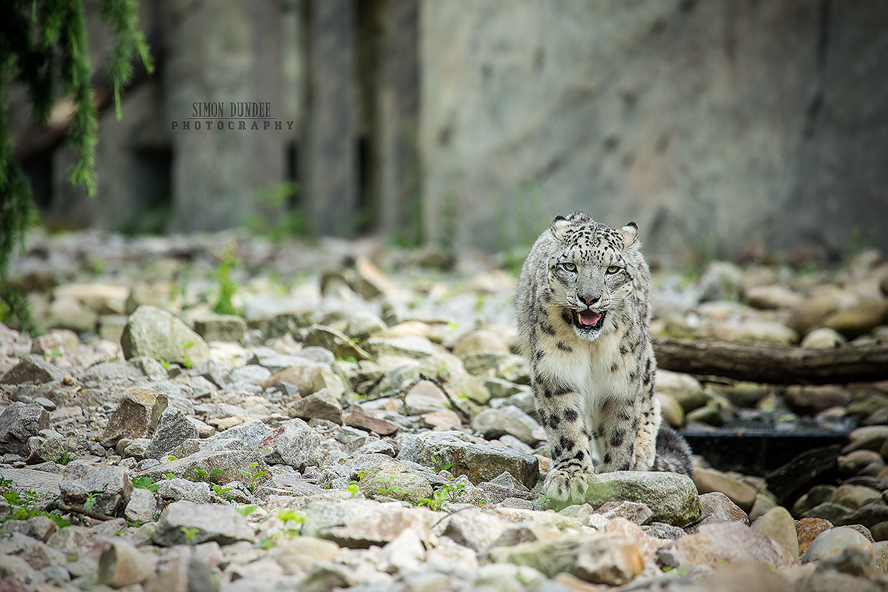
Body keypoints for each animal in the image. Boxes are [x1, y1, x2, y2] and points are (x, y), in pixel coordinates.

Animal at [512, 213, 692, 504]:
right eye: (570, 266)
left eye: (612, 270)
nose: (588, 297)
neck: (592, 347)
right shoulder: (555, 373)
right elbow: (566, 426)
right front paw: (570, 476)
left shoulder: (623, 382)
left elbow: (620, 432)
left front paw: (616, 474)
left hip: (645, 361)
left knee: (651, 401)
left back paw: (642, 451)